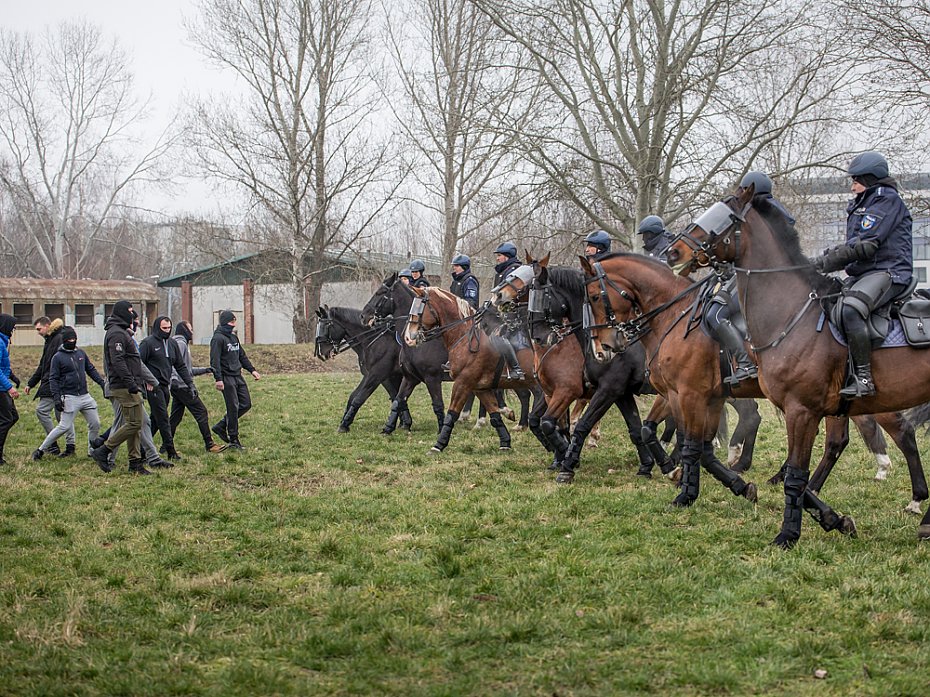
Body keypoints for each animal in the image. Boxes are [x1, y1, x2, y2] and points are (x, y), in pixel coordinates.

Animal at [490, 256, 672, 484]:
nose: (497, 296)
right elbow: (549, 423)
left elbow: (561, 424)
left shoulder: (586, 391)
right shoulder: (561, 393)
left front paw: (567, 461)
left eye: (525, 279)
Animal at [660, 188, 928, 548]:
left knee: (899, 433)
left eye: (722, 220)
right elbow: (791, 472)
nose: (673, 251)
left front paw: (787, 534)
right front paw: (833, 519)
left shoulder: (798, 410)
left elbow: (795, 475)